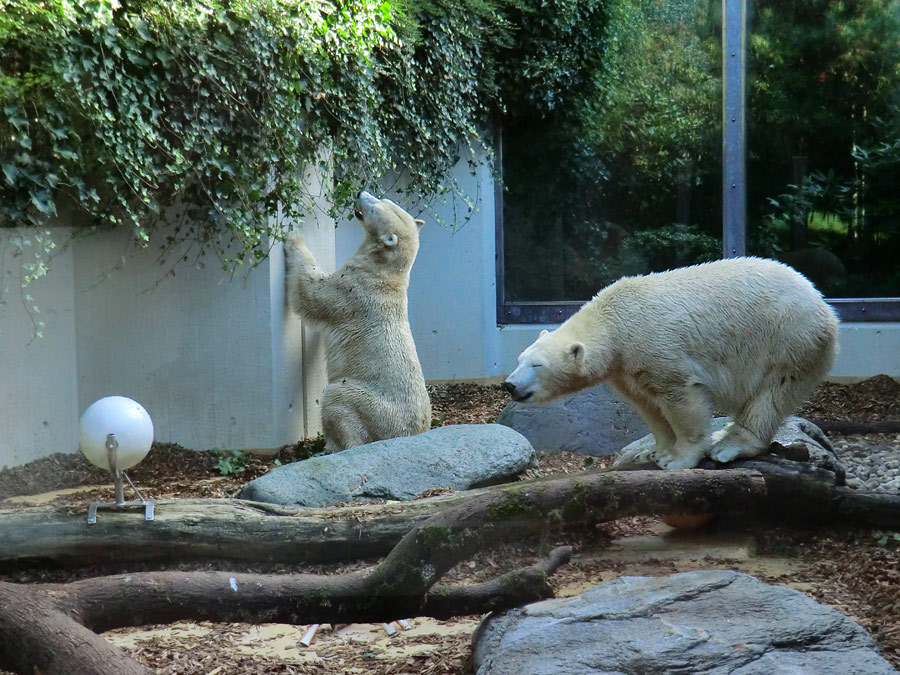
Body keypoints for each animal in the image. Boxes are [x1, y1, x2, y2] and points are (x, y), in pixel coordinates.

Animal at [284, 190, 432, 454]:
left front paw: (295, 237)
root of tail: (406, 434)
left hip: (374, 408)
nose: (361, 192)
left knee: (338, 398)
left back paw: (331, 446)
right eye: (383, 199)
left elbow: (312, 293)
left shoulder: (351, 288)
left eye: (375, 206)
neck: (383, 271)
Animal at [502, 258, 840, 470]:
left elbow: (681, 397)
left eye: (537, 365)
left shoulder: (657, 345)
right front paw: (655, 452)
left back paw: (728, 444)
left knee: (773, 393)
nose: (510, 385)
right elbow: (647, 403)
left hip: (788, 338)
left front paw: (678, 459)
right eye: (519, 359)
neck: (615, 323)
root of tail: (825, 306)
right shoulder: (627, 367)